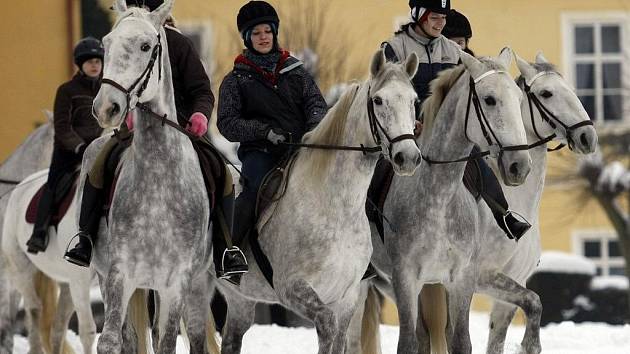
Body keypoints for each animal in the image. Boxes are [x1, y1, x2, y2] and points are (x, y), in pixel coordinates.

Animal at [218, 47, 424, 354]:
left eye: (413, 100)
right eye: (378, 100)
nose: (408, 157)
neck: (336, 207)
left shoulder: (347, 297)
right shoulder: (293, 288)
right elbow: (327, 326)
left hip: (239, 299)